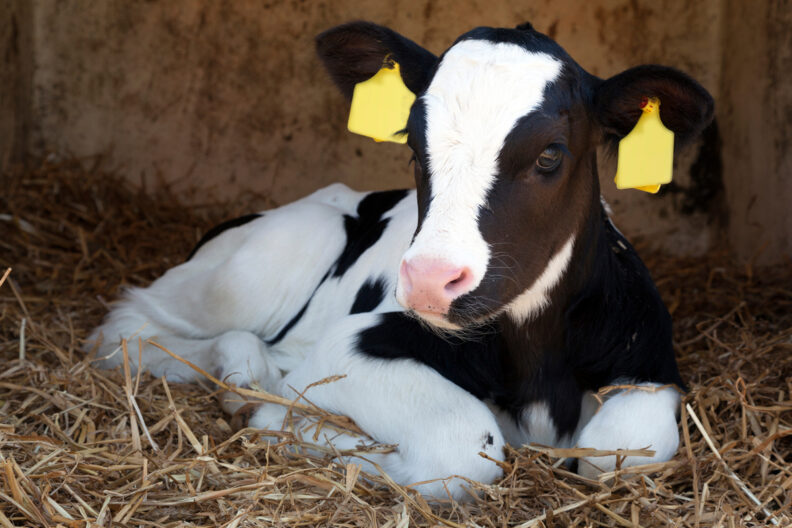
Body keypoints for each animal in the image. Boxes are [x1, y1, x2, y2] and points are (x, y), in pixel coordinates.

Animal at [88, 21, 713, 500]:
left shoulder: (651, 366)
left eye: (550, 154)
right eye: (414, 145)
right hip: (266, 259)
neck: (538, 366)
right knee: (128, 328)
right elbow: (465, 444)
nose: (432, 280)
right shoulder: (352, 345)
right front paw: (287, 422)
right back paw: (244, 381)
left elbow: (619, 451)